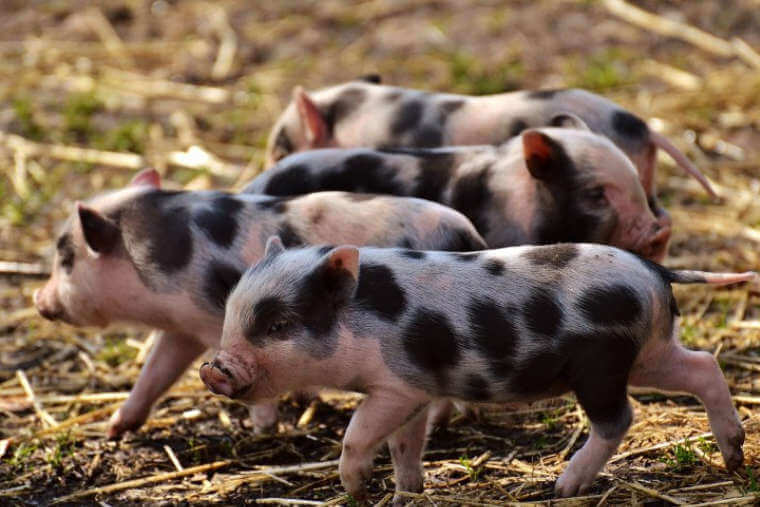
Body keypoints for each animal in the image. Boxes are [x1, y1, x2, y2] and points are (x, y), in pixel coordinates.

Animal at [33, 168, 487, 437]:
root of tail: (468, 236)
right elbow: (155, 372)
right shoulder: (183, 327)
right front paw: (115, 429)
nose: (39, 300)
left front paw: (264, 429)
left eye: (67, 258)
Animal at [202, 237, 752, 503]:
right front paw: (407, 493)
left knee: (618, 419)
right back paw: (734, 459)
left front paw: (358, 492)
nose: (214, 368)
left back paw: (563, 488)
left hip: (600, 365)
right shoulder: (417, 391)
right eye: (231, 314)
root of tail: (653, 270)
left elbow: (358, 436)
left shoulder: (396, 386)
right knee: (704, 366)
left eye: (279, 324)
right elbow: (405, 444)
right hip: (649, 352)